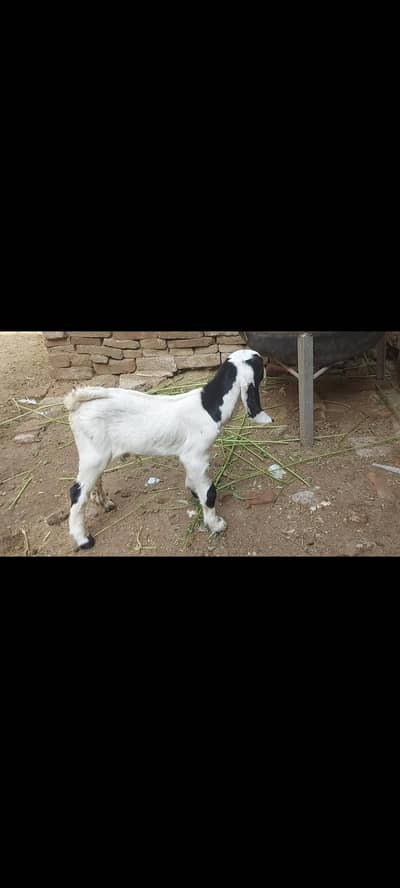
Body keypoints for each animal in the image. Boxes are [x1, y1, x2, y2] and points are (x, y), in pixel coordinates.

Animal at [64, 349, 273, 550]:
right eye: (259, 363)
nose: (268, 369)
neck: (208, 405)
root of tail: (77, 404)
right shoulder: (195, 456)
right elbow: (209, 492)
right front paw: (216, 524)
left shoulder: (191, 457)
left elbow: (195, 481)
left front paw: (193, 489)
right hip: (93, 455)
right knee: (76, 493)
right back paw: (83, 539)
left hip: (98, 453)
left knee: (94, 481)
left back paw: (104, 502)